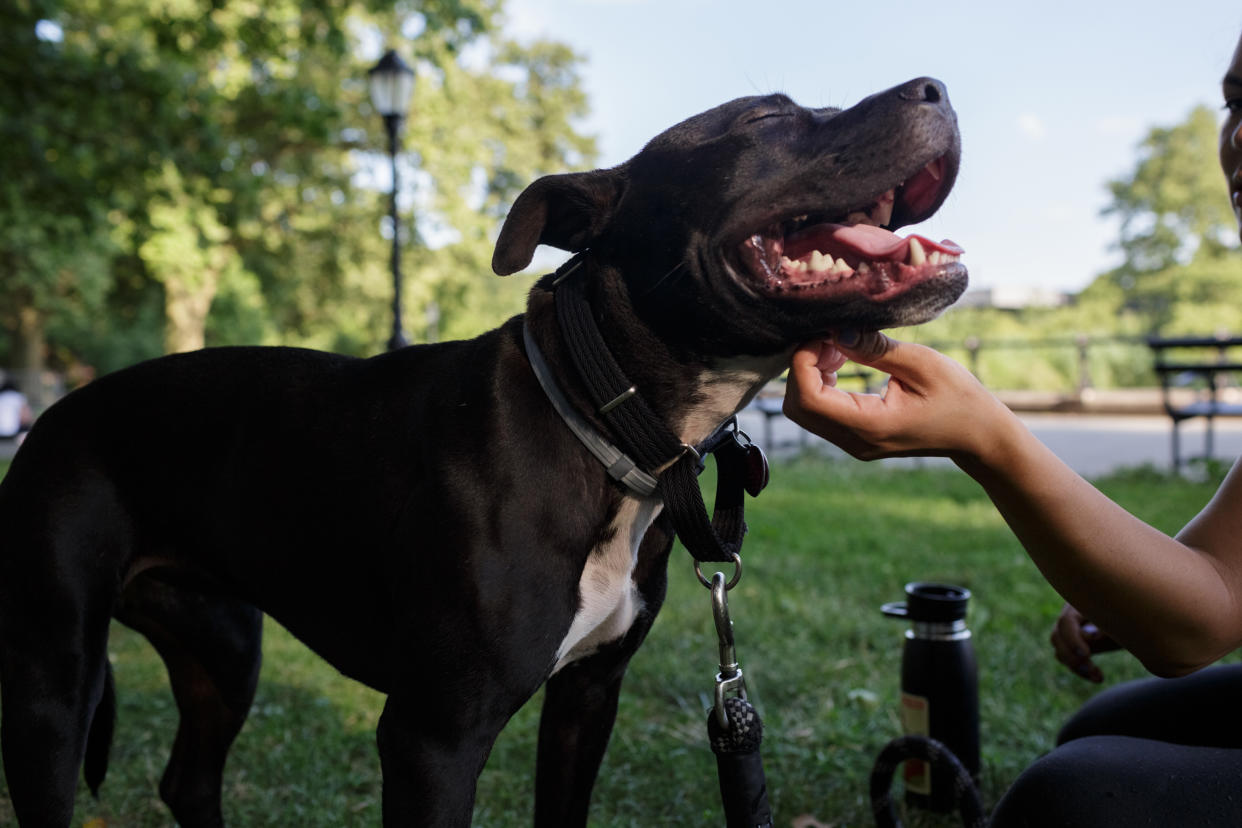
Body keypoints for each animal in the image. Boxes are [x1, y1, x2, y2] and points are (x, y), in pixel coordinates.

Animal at [0, 76, 968, 824]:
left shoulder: (587, 702)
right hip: (53, 680)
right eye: (767, 119)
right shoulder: (433, 737)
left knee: (189, 779)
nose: (938, 89)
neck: (599, 413)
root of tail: (51, 414)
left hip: (225, 651)